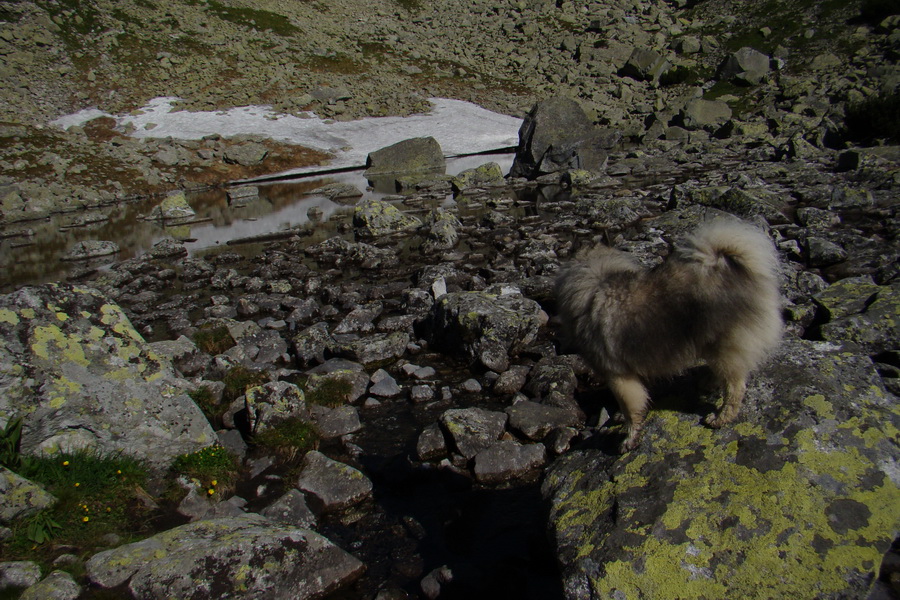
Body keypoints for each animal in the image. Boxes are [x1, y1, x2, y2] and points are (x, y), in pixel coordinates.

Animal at [556, 219, 780, 450]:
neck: (595, 275)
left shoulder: (616, 374)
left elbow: (630, 407)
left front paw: (629, 439)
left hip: (725, 346)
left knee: (735, 387)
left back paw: (721, 417)